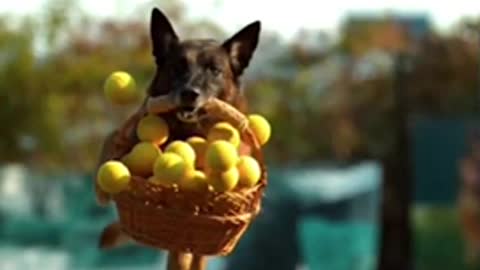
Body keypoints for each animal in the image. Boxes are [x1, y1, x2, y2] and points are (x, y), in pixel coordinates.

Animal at [94, 5, 258, 268]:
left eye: (215, 70)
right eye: (178, 67)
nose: (190, 93)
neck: (186, 130)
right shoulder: (131, 128)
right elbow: (110, 137)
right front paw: (101, 188)